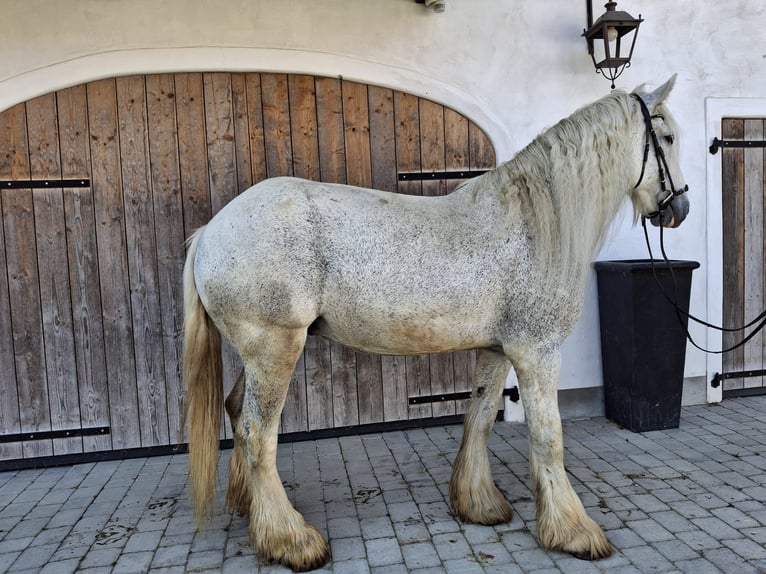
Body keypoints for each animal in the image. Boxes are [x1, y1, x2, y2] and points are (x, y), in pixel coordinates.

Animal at [182, 75, 688, 571]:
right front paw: (573, 532)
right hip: (275, 348)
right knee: (256, 434)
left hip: (260, 353)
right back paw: (291, 540)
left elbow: (480, 417)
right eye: (666, 137)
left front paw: (478, 503)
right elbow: (549, 436)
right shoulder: (537, 351)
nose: (678, 210)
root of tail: (209, 232)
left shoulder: (497, 349)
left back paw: (252, 510)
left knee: (236, 412)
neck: (532, 225)